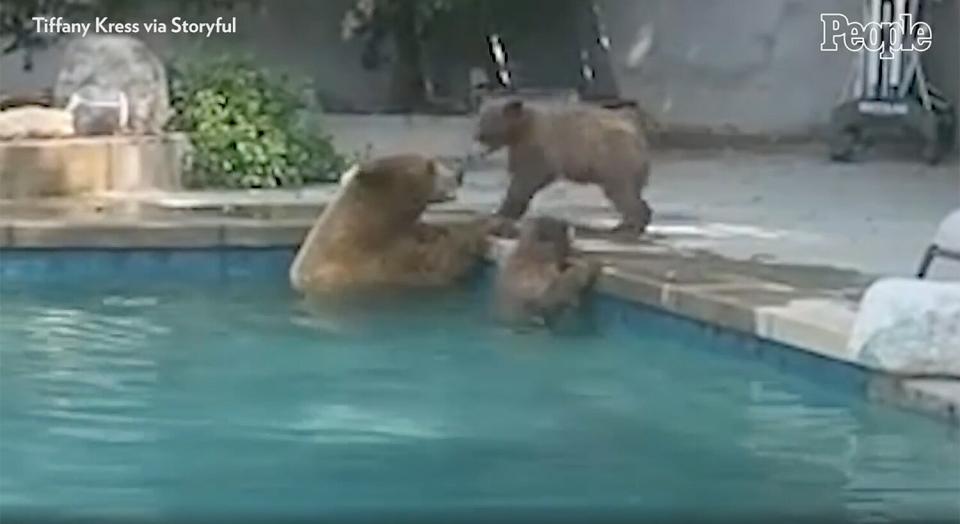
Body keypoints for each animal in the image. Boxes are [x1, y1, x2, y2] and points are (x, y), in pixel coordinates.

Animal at [472, 97, 652, 235]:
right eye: (481, 118)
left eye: (487, 120)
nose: (477, 136)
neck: (520, 130)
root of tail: (639, 137)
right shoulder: (521, 147)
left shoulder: (539, 144)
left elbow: (528, 178)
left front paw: (502, 212)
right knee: (631, 192)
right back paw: (633, 222)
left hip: (613, 159)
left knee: (621, 192)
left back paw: (630, 225)